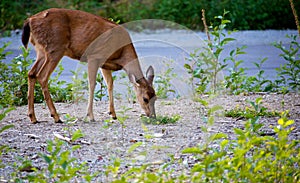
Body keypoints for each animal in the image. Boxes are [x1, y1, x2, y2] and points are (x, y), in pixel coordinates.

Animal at [21, 8, 157, 123]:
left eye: (155, 97)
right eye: (145, 98)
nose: (152, 116)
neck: (122, 54)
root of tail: (30, 20)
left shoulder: (105, 64)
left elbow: (110, 84)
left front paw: (113, 114)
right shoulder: (94, 57)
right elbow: (92, 84)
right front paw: (91, 116)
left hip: (41, 51)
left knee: (31, 73)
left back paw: (33, 117)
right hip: (55, 48)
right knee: (42, 76)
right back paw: (56, 117)